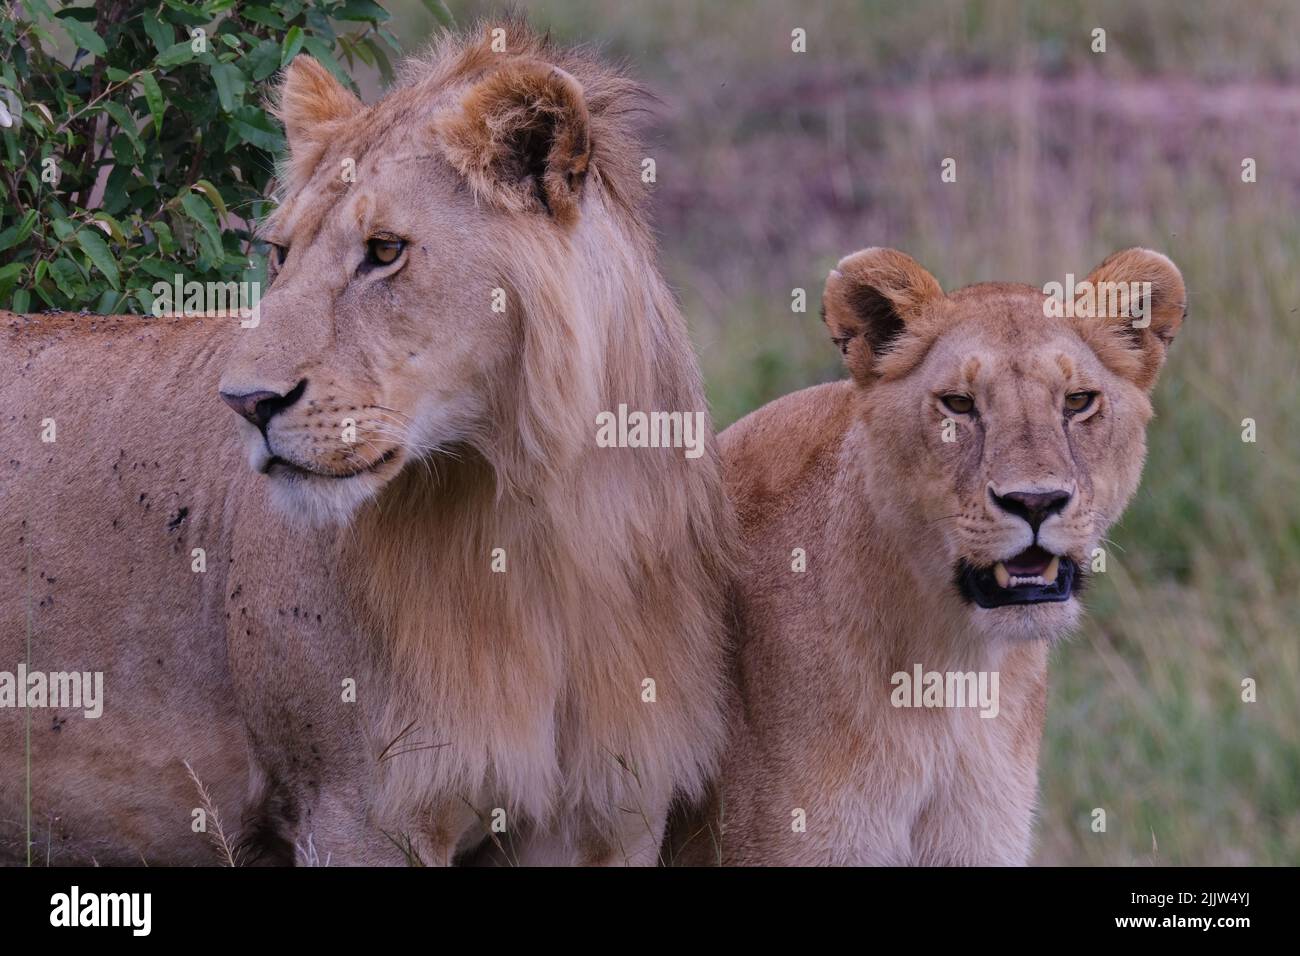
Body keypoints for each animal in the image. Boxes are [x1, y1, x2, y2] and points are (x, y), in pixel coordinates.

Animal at [1, 21, 734, 865]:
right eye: (281, 253)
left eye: (385, 251)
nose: (245, 402)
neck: (539, 522)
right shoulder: (361, 810)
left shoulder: (613, 813)